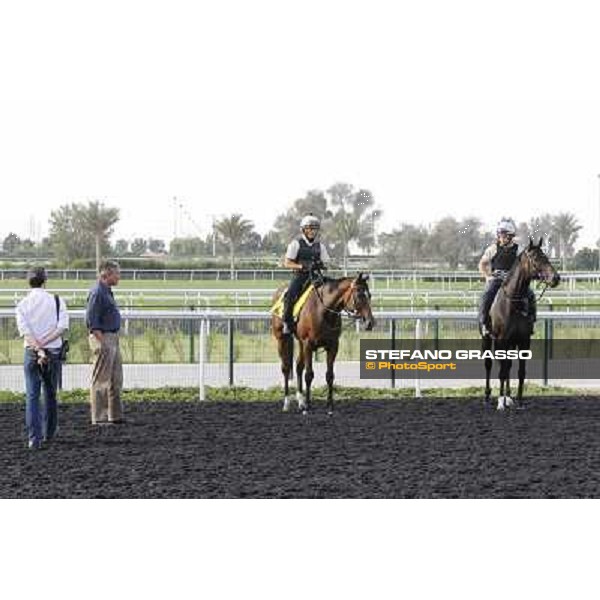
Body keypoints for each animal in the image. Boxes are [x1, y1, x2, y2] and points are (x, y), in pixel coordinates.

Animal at [272, 270, 376, 414]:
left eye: (369, 295)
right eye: (359, 295)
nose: (370, 323)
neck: (324, 310)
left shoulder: (333, 346)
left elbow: (330, 375)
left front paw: (329, 407)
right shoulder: (309, 345)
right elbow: (309, 375)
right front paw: (308, 407)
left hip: (300, 343)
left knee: (298, 366)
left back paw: (301, 402)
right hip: (282, 338)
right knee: (286, 368)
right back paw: (287, 403)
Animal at [480, 237, 560, 410]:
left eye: (546, 256)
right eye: (536, 258)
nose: (556, 278)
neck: (513, 302)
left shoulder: (524, 340)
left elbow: (520, 372)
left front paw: (520, 401)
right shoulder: (502, 340)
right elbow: (502, 371)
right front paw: (500, 403)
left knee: (508, 365)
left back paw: (508, 397)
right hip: (487, 339)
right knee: (489, 364)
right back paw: (488, 396)